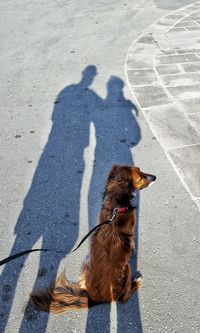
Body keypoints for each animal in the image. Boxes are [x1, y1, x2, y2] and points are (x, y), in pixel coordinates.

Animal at [31, 165, 156, 312]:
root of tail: (94, 299)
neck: (115, 206)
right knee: (124, 298)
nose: (155, 177)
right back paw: (137, 283)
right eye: (140, 176)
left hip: (87, 264)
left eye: (140, 170)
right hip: (127, 269)